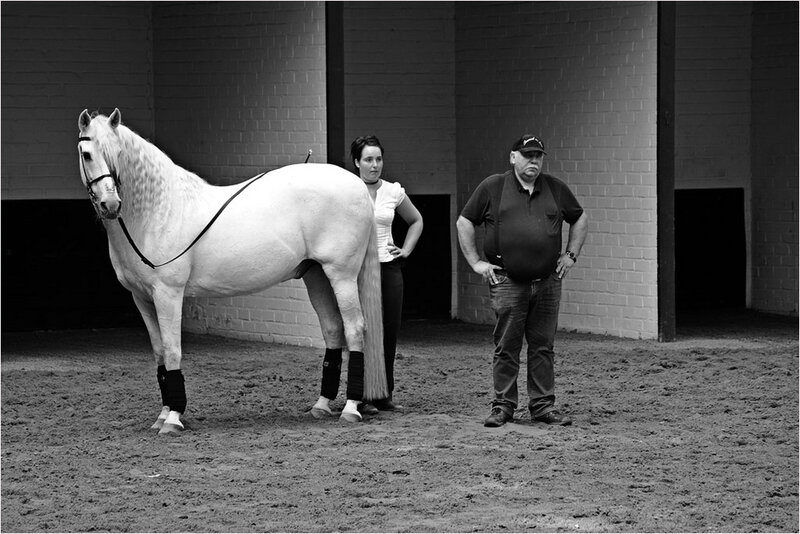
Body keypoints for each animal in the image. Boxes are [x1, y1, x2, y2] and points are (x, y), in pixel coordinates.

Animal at [77, 108, 387, 434]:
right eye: (86, 154)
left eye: (118, 153)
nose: (110, 204)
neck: (160, 211)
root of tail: (357, 186)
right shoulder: (142, 298)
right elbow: (160, 352)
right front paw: (162, 415)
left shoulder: (168, 294)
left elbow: (173, 350)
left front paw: (173, 419)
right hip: (315, 275)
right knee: (332, 329)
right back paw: (321, 405)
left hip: (341, 275)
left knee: (354, 329)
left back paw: (350, 409)